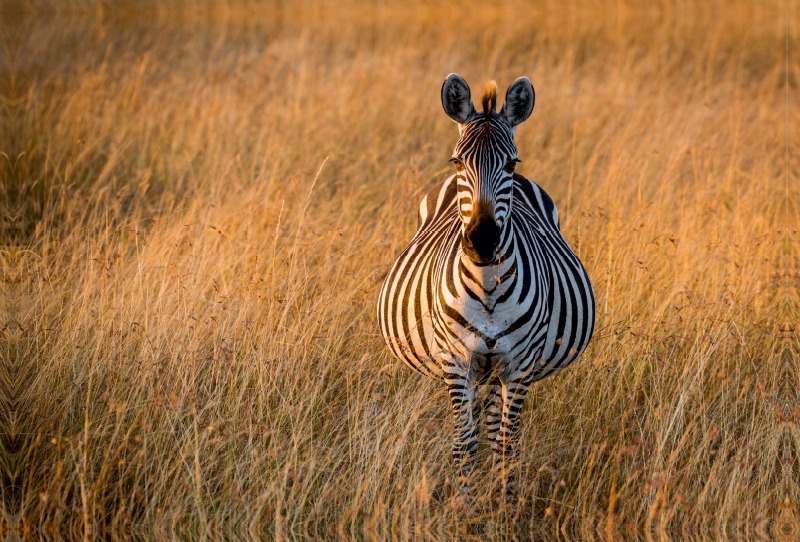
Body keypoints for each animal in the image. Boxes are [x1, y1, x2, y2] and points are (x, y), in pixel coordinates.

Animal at [377, 74, 596, 500]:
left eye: (510, 162)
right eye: (458, 162)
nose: (482, 242)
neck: (489, 288)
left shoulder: (519, 364)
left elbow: (507, 443)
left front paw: (505, 506)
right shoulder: (456, 360)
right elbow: (464, 442)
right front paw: (463, 507)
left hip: (497, 370)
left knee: (495, 427)